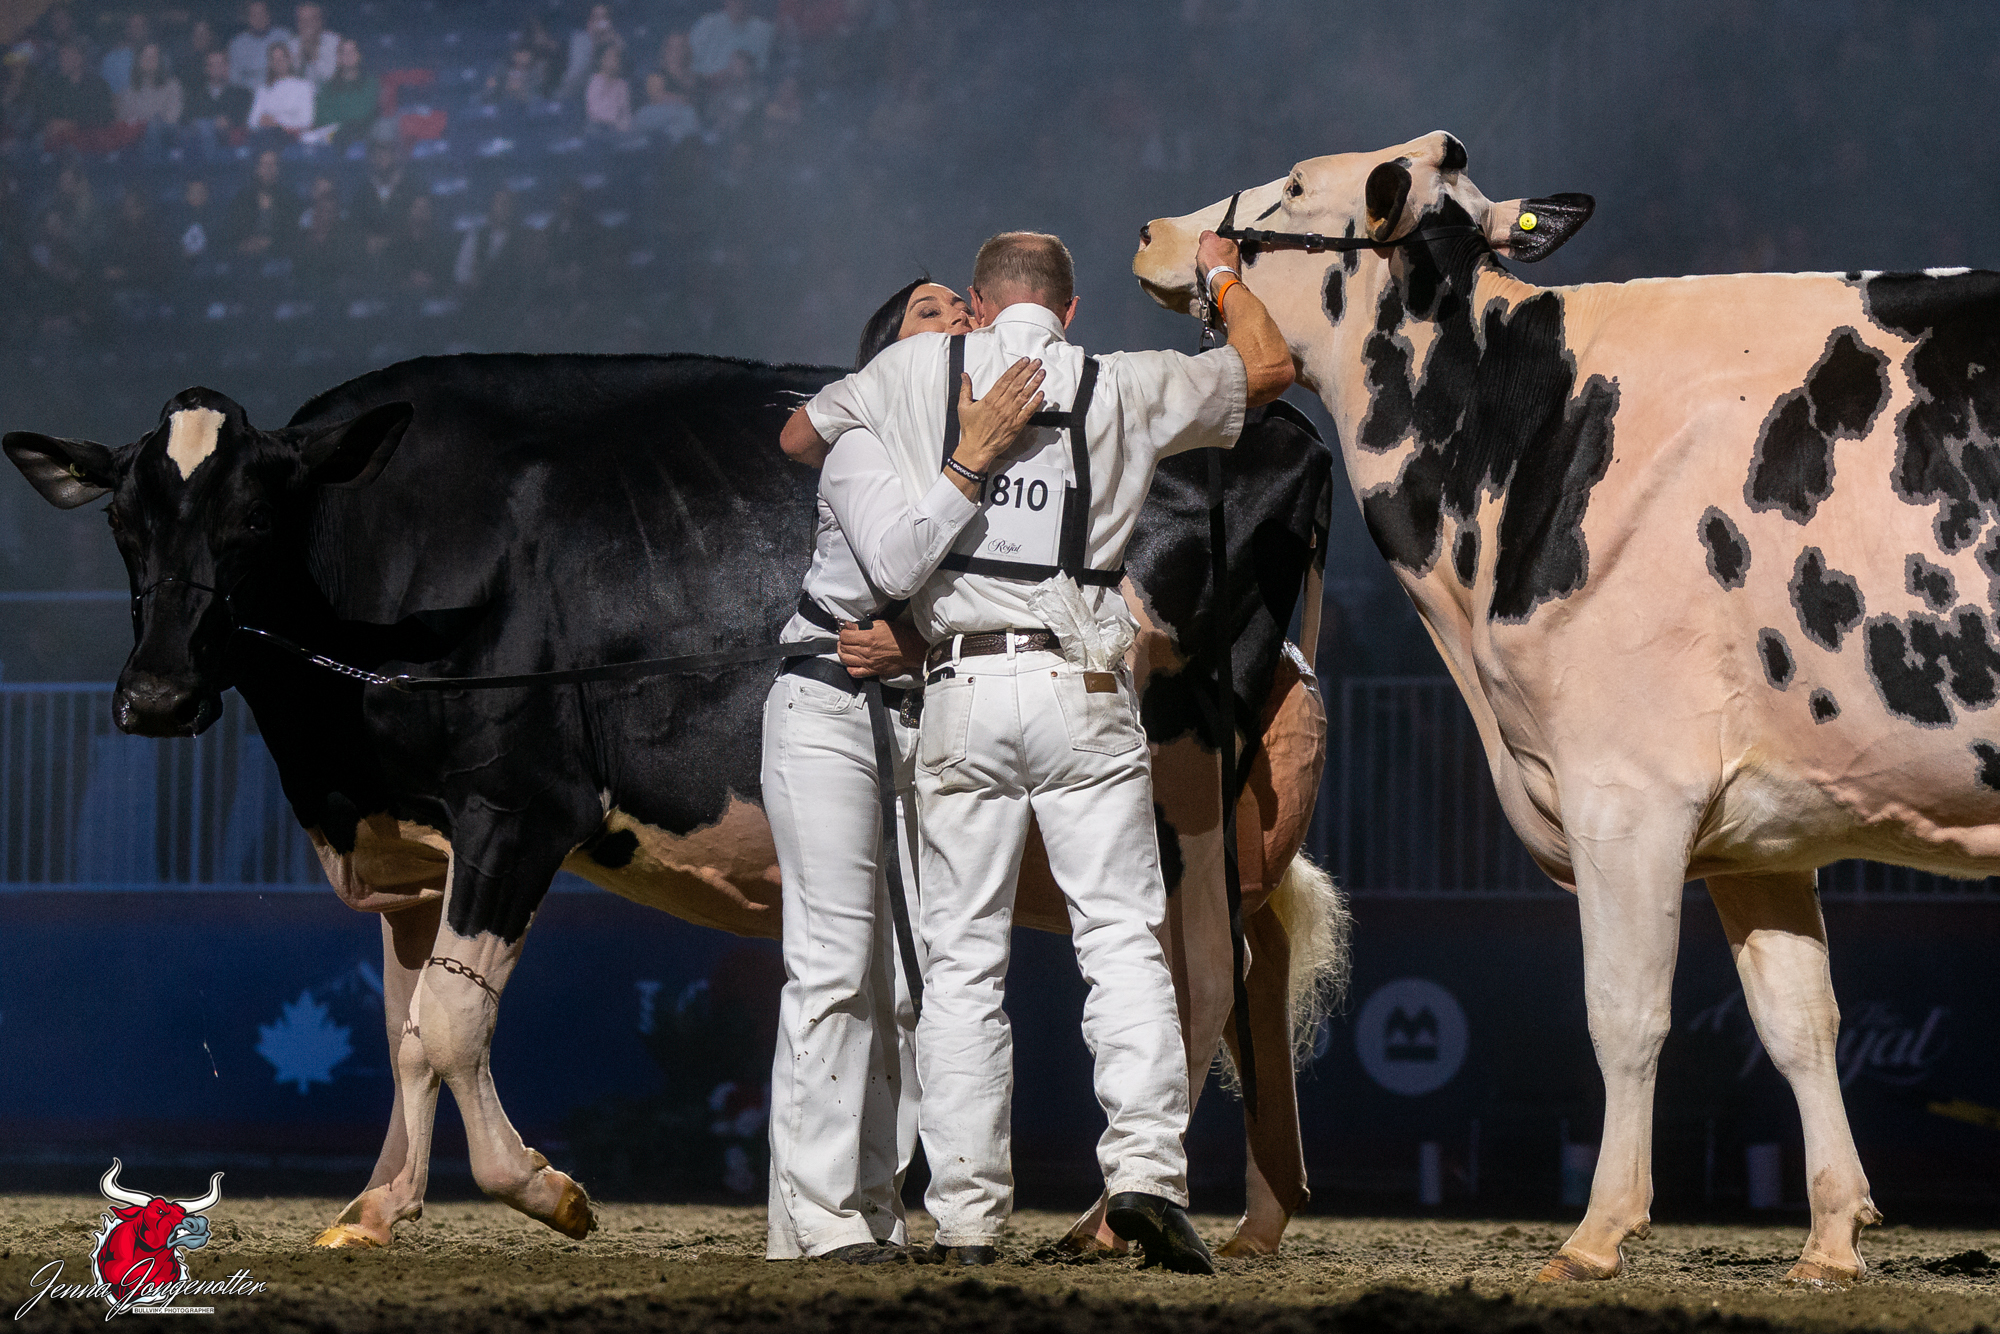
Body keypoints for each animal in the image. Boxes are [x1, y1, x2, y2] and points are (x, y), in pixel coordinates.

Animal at [5, 352, 1341, 1256]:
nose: (156, 692)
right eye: (124, 520)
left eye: (253, 517)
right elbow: (402, 1024)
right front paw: (377, 1205)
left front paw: (545, 1188)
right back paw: (1255, 1216)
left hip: (1174, 793)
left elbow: (450, 1020)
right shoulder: (413, 840)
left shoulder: (518, 804)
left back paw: (1120, 1216)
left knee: (1198, 979)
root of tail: (1269, 430)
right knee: (1249, 968)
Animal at [1134, 130, 2000, 1287]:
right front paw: (1828, 1237)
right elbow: (1797, 1020)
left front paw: (1596, 1233)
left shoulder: (1627, 793)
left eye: (1294, 186)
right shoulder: (1761, 829)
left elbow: (1624, 1013)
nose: (1155, 231)